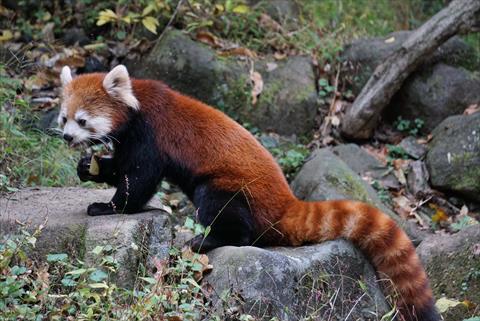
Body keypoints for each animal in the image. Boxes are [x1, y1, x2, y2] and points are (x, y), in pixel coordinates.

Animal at [59, 65, 438, 320]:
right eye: (64, 118)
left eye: (82, 120)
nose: (66, 137)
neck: (136, 104)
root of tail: (287, 204)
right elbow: (121, 167)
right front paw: (88, 167)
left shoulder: (150, 134)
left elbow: (139, 179)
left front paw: (109, 207)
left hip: (231, 189)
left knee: (227, 216)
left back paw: (205, 240)